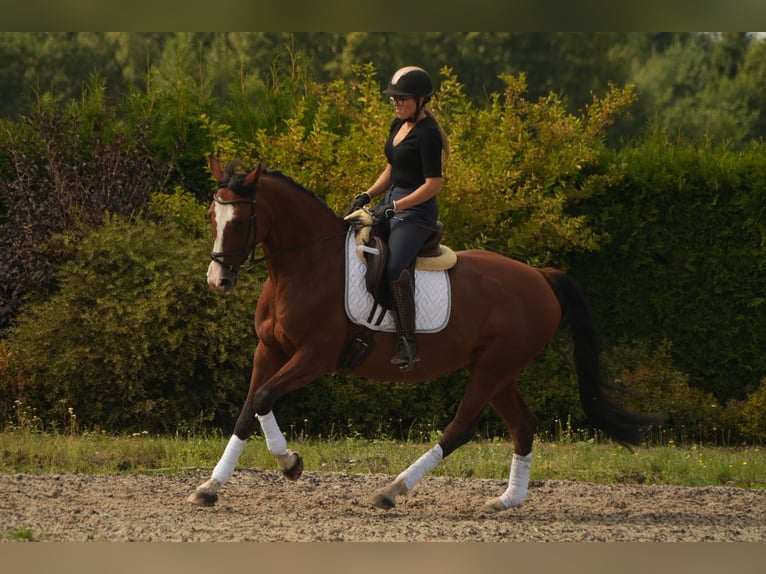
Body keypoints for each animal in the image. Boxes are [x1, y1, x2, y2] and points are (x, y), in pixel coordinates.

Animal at [187, 156, 663, 512]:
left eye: (241, 220)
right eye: (212, 215)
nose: (218, 280)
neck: (304, 265)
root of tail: (541, 277)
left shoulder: (314, 357)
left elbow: (264, 398)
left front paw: (290, 464)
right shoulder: (269, 350)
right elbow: (250, 407)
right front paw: (211, 487)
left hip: (492, 368)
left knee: (461, 428)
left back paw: (391, 491)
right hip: (497, 369)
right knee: (523, 425)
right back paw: (507, 500)